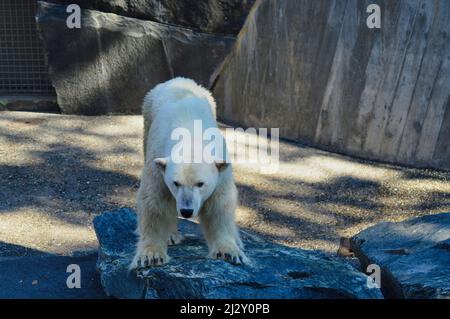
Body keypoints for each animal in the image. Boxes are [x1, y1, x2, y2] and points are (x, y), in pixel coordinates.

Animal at [131, 78, 246, 270]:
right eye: (176, 183)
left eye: (200, 183)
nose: (186, 211)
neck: (190, 135)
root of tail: (178, 79)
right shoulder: (157, 162)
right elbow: (154, 200)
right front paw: (150, 256)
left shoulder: (221, 169)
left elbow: (219, 204)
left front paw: (228, 252)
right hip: (147, 115)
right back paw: (171, 235)